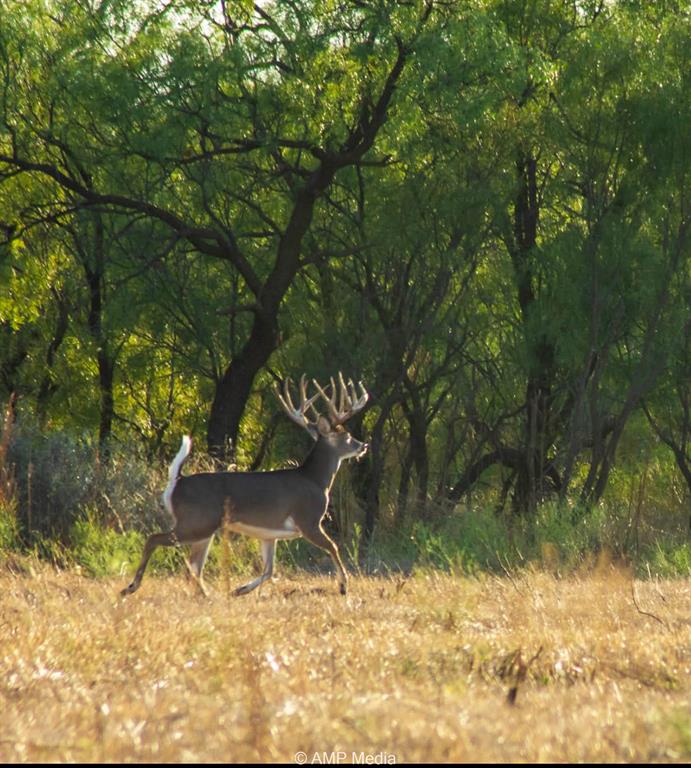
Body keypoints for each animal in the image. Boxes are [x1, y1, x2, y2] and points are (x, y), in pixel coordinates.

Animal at [120, 373, 369, 598]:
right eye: (347, 436)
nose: (363, 445)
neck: (316, 480)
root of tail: (176, 481)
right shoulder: (308, 520)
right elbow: (333, 547)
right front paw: (343, 586)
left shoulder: (270, 535)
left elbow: (269, 570)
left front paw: (239, 590)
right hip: (196, 521)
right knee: (155, 540)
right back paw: (131, 587)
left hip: (204, 528)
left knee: (193, 566)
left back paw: (207, 596)